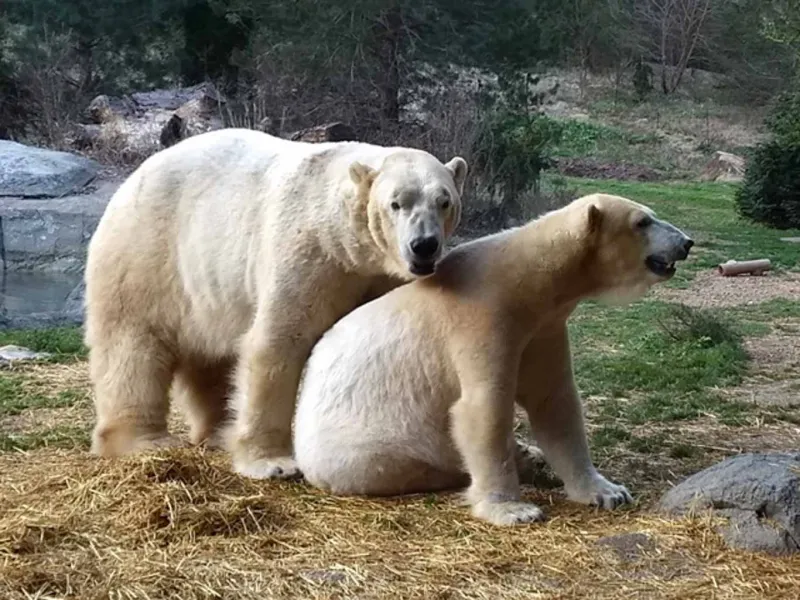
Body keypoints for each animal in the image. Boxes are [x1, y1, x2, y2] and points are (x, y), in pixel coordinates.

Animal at [83, 125, 468, 478]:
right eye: (395, 203)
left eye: (444, 201)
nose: (424, 245)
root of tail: (131, 180)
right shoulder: (309, 254)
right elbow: (278, 343)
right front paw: (273, 463)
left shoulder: (378, 276)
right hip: (146, 258)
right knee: (133, 347)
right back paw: (142, 440)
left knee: (209, 360)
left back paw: (219, 431)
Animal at [294, 193, 692, 524]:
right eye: (642, 221)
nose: (687, 242)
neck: (528, 281)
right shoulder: (483, 317)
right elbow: (484, 408)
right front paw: (514, 509)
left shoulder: (544, 328)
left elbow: (555, 403)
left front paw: (607, 491)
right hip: (362, 446)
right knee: (407, 461)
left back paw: (530, 457)